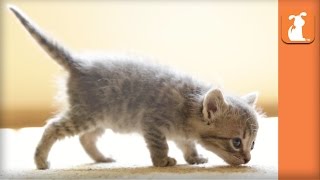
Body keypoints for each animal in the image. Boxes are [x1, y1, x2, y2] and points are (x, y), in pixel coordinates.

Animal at [9, 4, 260, 169]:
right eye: (237, 142)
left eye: (254, 144)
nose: (247, 159)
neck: (188, 108)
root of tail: (79, 64)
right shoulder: (152, 123)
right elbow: (160, 145)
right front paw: (162, 161)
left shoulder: (181, 132)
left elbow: (187, 144)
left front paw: (194, 157)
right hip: (87, 114)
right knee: (53, 127)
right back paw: (41, 160)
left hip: (103, 117)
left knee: (86, 138)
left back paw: (101, 158)